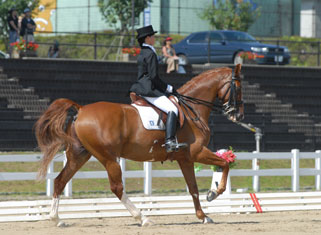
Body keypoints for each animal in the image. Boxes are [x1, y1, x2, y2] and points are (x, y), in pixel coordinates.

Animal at [34, 63, 242, 226]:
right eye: (238, 88)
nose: (238, 115)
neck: (192, 111)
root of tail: (82, 109)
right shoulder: (197, 152)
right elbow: (224, 164)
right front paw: (214, 192)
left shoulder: (186, 159)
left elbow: (193, 188)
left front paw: (203, 216)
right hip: (108, 158)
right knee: (117, 187)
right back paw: (142, 218)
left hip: (80, 155)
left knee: (60, 181)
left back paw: (56, 219)